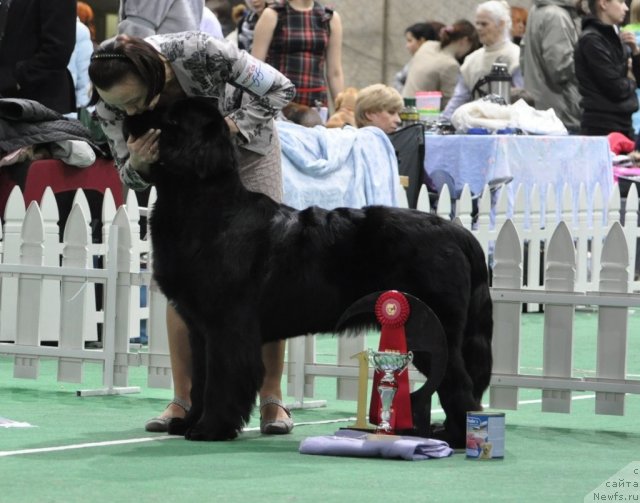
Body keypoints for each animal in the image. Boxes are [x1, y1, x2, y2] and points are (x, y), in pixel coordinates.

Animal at [126, 98, 496, 448]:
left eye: (171, 119)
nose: (130, 115)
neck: (204, 204)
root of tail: (458, 233)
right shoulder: (200, 329)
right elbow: (201, 378)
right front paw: (188, 423)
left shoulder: (227, 327)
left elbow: (223, 379)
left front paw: (210, 429)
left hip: (430, 330)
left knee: (457, 383)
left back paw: (457, 437)